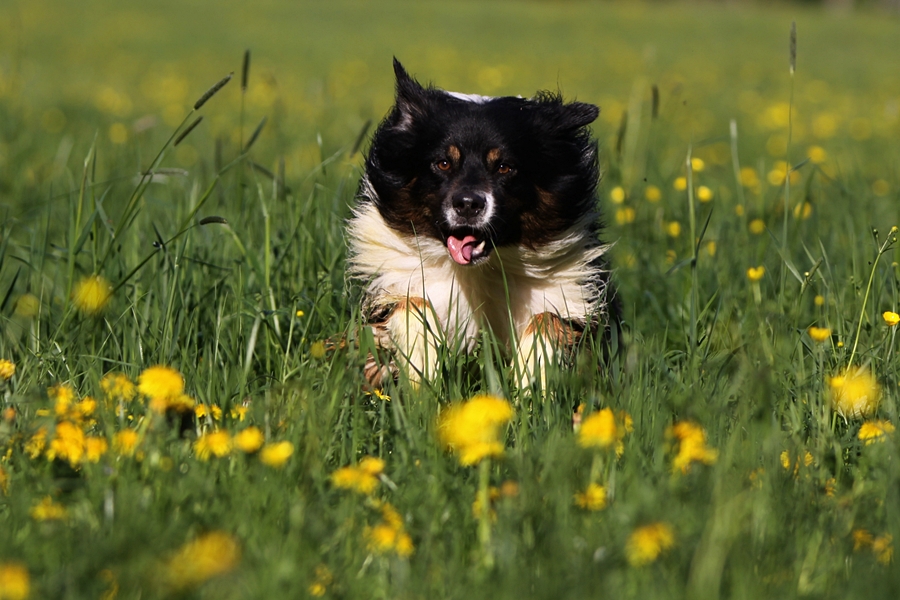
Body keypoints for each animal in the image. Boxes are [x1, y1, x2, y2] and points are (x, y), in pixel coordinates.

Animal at [348, 59, 616, 390]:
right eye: (443, 163)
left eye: (504, 167)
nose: (467, 205)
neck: (476, 273)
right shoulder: (393, 288)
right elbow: (411, 303)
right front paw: (424, 371)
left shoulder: (571, 300)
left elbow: (548, 320)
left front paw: (530, 386)